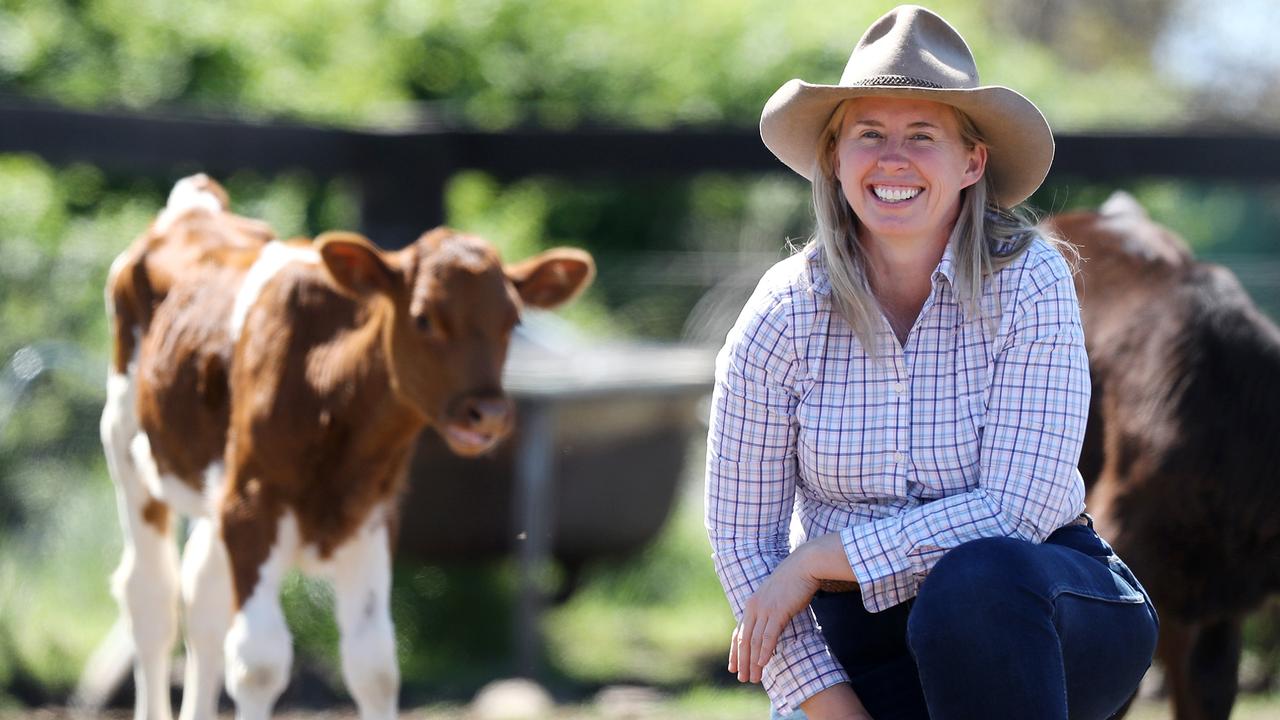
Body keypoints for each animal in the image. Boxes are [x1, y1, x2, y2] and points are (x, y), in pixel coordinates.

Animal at [102, 175, 596, 717]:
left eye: (513, 321)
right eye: (423, 318)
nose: (488, 412)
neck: (328, 389)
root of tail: (195, 205)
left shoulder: (372, 512)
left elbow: (374, 664)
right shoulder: (252, 505)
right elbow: (260, 662)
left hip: (216, 489)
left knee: (202, 598)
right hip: (128, 447)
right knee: (151, 597)